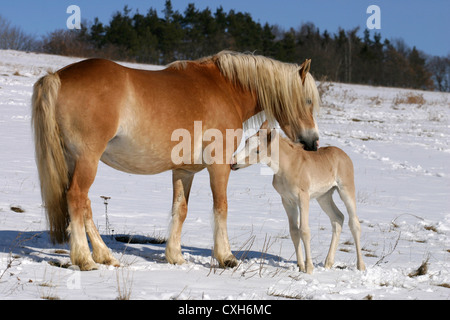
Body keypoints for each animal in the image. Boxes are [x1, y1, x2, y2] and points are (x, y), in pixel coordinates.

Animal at [30, 50, 320, 270]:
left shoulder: (184, 171)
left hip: (73, 160)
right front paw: (226, 257)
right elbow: (221, 207)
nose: (314, 142)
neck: (224, 89)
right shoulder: (219, 165)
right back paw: (85, 259)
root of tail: (57, 77)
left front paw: (175, 256)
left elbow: (180, 209)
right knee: (76, 198)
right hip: (87, 159)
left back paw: (105, 255)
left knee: (84, 204)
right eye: (307, 100)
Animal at [232, 121, 366, 274]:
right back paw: (328, 263)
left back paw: (360, 266)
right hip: (324, 197)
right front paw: (301, 266)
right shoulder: (287, 201)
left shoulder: (303, 198)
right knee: (338, 218)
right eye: (246, 142)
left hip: (346, 190)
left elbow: (304, 230)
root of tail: (345, 156)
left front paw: (309, 268)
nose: (233, 163)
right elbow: (294, 231)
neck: (288, 166)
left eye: (258, 150)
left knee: (354, 223)